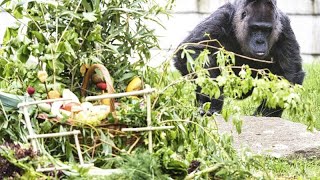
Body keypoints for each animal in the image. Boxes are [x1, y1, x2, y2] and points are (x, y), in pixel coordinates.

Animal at [174, 0, 304, 116]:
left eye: (266, 30)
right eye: (255, 28)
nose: (260, 42)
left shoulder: (284, 26)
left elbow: (290, 73)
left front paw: (267, 112)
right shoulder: (220, 17)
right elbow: (190, 51)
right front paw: (213, 100)